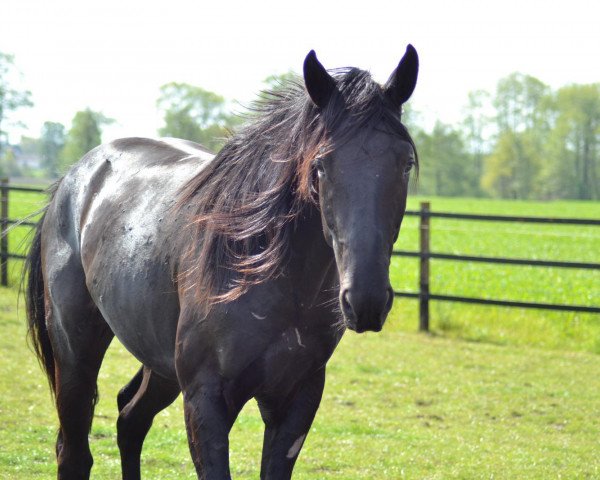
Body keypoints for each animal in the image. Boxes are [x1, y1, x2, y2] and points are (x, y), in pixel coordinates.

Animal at [24, 46, 418, 480]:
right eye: (320, 166)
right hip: (76, 353)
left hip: (160, 364)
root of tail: (75, 178)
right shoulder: (206, 401)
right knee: (75, 453)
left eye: (405, 164)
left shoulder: (296, 400)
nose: (365, 300)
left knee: (130, 419)